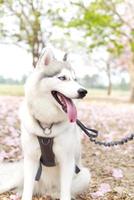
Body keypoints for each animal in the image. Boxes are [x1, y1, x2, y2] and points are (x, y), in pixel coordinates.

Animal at [0, 48, 90, 200]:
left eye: (75, 79)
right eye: (62, 78)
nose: (83, 91)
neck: (47, 127)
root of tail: (44, 190)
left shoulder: (67, 161)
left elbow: (65, 193)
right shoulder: (31, 159)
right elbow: (27, 191)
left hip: (84, 175)